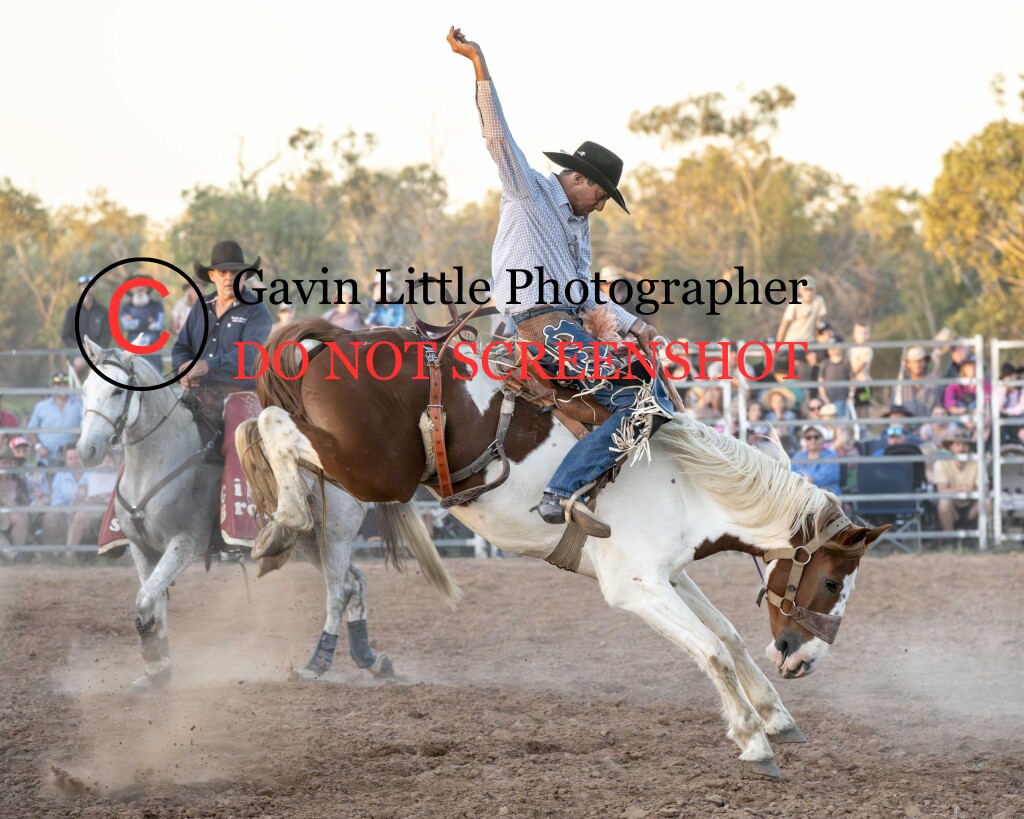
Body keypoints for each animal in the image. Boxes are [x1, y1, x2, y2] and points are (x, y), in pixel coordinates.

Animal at [76, 337, 459, 693]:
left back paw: (316, 665)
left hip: (334, 535)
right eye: (85, 389)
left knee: (338, 592)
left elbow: (146, 599)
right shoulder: (142, 548)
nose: (86, 450)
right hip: (309, 542)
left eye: (116, 391)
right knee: (355, 582)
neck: (162, 458)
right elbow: (153, 602)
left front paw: (157, 663)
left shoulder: (183, 545)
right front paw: (157, 669)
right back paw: (371, 660)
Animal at [240, 318, 887, 778]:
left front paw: (777, 718)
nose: (805, 660)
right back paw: (280, 524)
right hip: (376, 471)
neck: (687, 484)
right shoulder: (635, 587)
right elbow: (711, 651)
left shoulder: (669, 575)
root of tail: (347, 337)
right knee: (269, 424)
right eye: (832, 581)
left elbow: (726, 635)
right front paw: (754, 743)